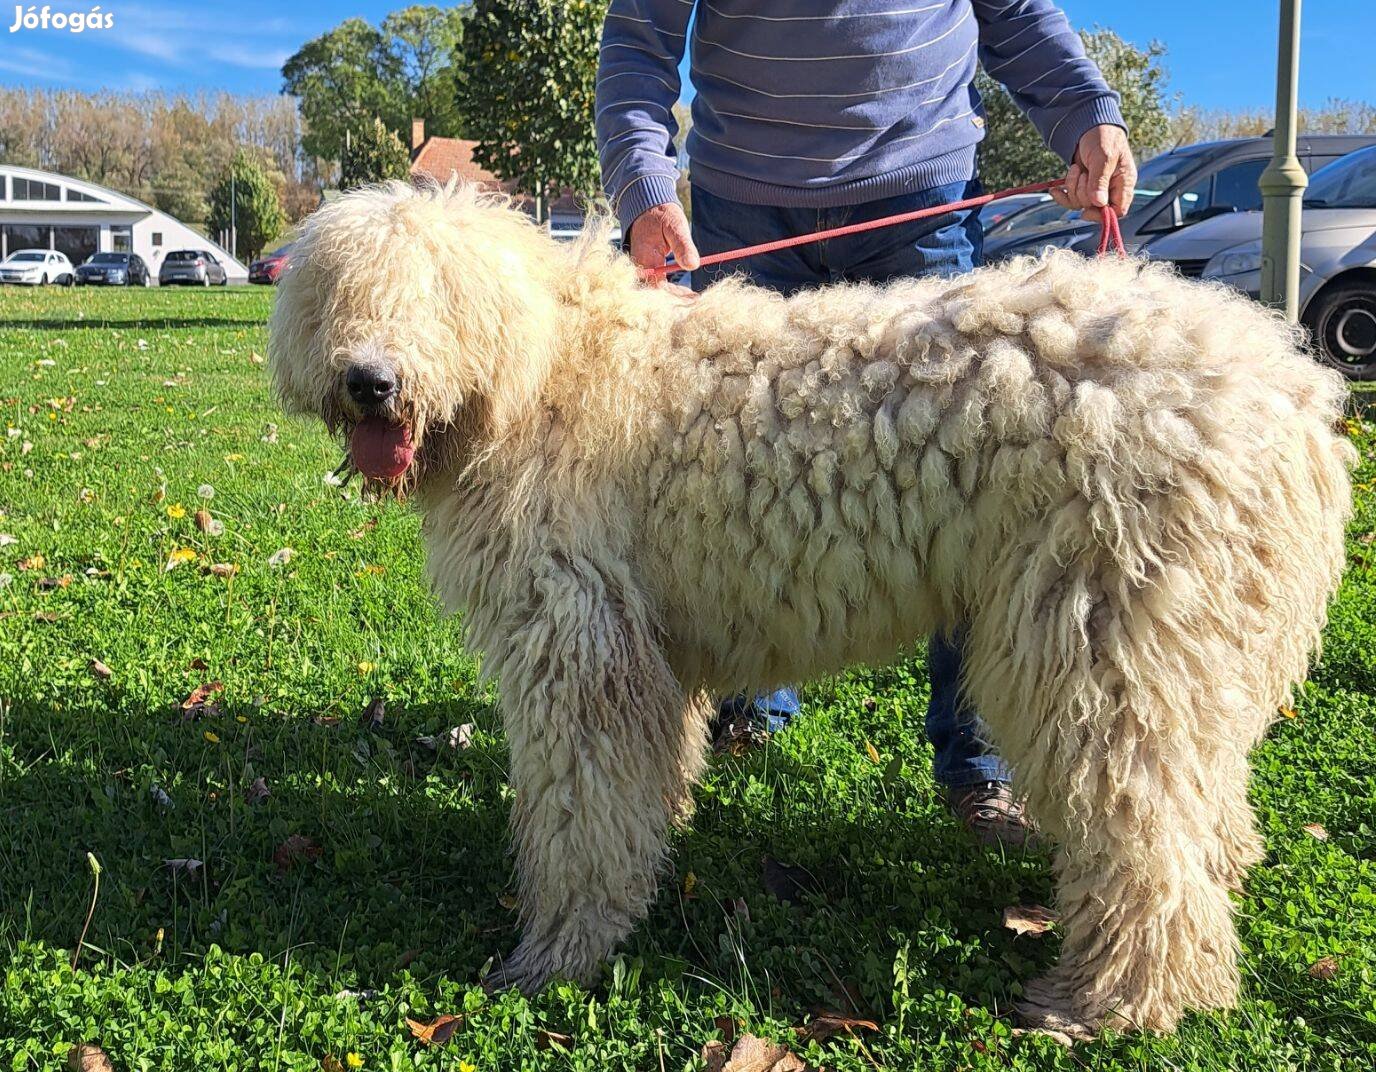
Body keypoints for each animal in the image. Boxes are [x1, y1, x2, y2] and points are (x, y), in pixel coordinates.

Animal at [268, 180, 1353, 1034]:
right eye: (337, 295)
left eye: (436, 295)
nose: (369, 381)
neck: (542, 376)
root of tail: (1290, 392)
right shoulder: (640, 652)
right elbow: (634, 788)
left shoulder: (578, 642)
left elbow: (580, 811)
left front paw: (558, 952)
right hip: (1178, 645)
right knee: (1195, 799)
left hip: (1099, 636)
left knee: (1145, 826)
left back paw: (1113, 998)